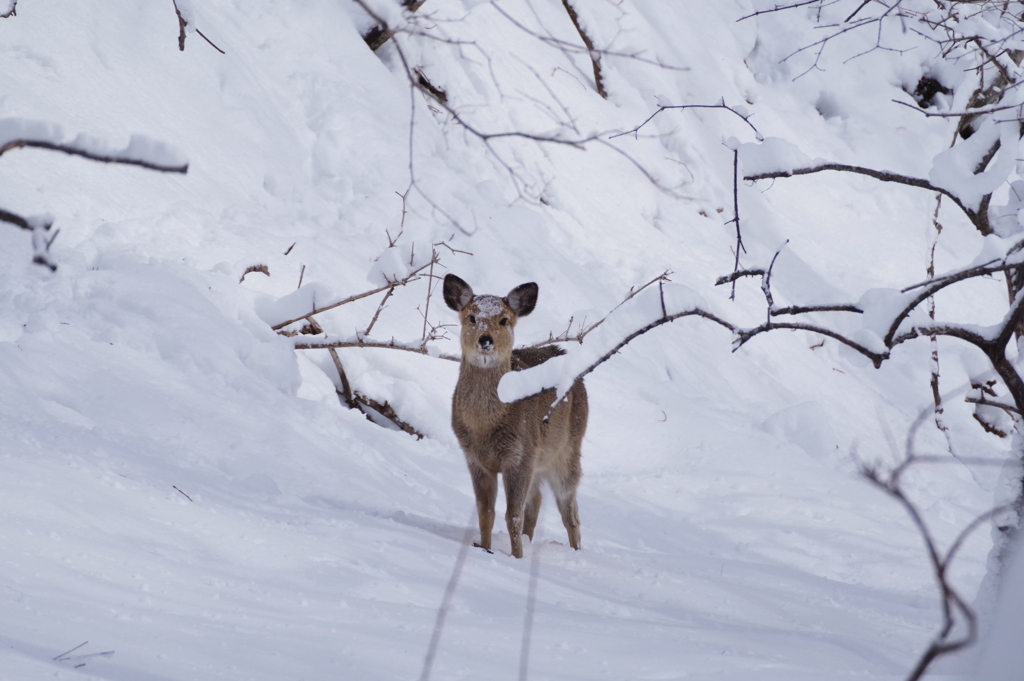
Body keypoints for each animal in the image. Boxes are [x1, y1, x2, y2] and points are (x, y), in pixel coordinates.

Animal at [444, 272, 589, 557]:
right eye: (471, 317)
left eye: (504, 320)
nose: (485, 340)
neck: (484, 428)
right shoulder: (475, 458)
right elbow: (486, 512)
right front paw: (485, 548)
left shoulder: (520, 454)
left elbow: (513, 515)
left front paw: (516, 557)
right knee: (538, 501)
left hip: (568, 449)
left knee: (570, 510)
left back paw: (575, 551)